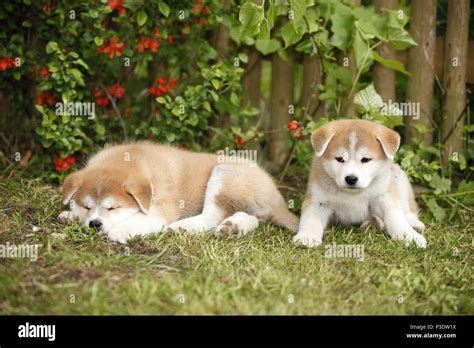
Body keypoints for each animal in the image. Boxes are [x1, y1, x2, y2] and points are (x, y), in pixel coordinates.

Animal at [58, 143, 296, 243]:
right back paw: (233, 228)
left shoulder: (161, 208)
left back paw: (182, 228)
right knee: (250, 219)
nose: (94, 224)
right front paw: (70, 215)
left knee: (212, 216)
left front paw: (121, 231)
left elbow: (142, 220)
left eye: (112, 207)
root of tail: (277, 195)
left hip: (224, 174)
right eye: (87, 206)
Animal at [294, 119, 428, 247]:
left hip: (398, 179)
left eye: (365, 159)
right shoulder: (318, 201)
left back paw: (413, 223)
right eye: (340, 159)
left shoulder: (383, 196)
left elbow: (396, 217)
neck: (352, 194)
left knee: (407, 207)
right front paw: (307, 236)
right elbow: (311, 219)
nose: (351, 179)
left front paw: (409, 236)